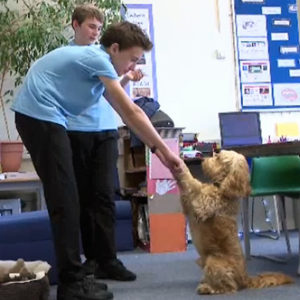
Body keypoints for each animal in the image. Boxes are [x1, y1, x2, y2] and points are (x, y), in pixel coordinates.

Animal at [173, 150, 292, 296]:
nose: (202, 159)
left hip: (214, 262)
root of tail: (246, 278)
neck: (222, 188)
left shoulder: (202, 203)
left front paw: (181, 167)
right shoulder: (188, 204)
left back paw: (208, 288)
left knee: (229, 288)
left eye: (218, 157)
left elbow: (192, 182)